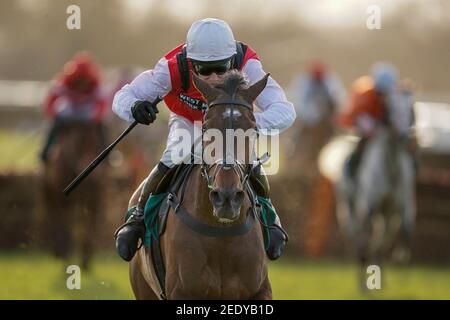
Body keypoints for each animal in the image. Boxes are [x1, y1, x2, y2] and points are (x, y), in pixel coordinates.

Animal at [41, 119, 105, 268]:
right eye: (78, 143)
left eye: (97, 141)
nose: (96, 177)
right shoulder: (65, 202)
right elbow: (66, 229)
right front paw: (66, 257)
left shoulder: (94, 200)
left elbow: (90, 228)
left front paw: (86, 260)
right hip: (49, 194)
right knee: (53, 216)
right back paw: (58, 251)